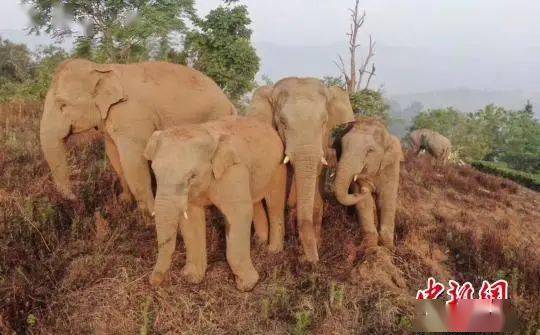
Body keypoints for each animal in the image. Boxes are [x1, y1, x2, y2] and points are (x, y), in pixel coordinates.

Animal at [39, 58, 234, 214]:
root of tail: (230, 102)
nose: (75, 198)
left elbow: (132, 161)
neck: (101, 68)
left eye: (62, 105)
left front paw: (149, 215)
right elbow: (115, 156)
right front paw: (124, 201)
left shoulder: (132, 116)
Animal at [143, 116, 286, 292]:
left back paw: (273, 251)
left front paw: (246, 285)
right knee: (256, 202)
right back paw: (259, 242)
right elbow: (191, 219)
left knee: (274, 202)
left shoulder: (233, 172)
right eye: (155, 171)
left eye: (192, 176)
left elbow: (239, 214)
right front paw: (191, 278)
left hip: (278, 165)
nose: (154, 283)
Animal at [245, 79, 354, 262]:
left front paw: (315, 248)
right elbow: (276, 191)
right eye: (282, 123)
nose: (314, 262)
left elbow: (317, 190)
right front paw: (274, 252)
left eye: (324, 122)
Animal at [334, 118, 404, 252]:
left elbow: (386, 200)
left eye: (370, 151)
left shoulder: (391, 166)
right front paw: (370, 248)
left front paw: (388, 249)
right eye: (342, 145)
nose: (366, 188)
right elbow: (365, 203)